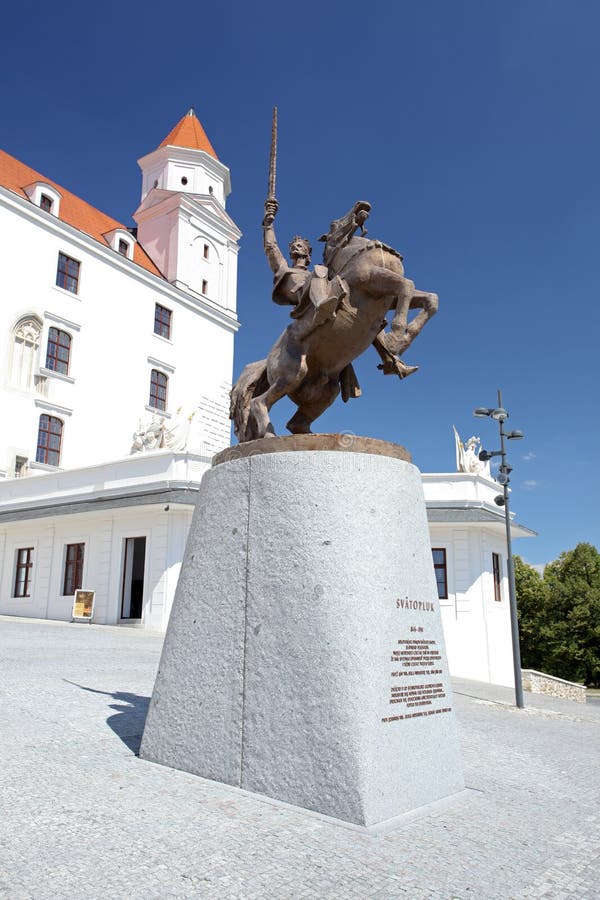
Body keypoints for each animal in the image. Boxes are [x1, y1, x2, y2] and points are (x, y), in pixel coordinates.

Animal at [229, 203, 436, 442]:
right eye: (333, 224)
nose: (361, 205)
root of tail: (266, 360)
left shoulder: (389, 298)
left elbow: (430, 299)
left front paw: (403, 339)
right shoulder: (371, 280)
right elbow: (407, 285)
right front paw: (397, 337)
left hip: (328, 389)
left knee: (295, 423)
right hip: (291, 373)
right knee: (258, 402)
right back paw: (270, 434)